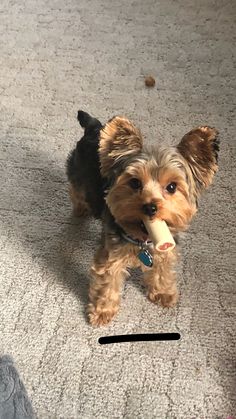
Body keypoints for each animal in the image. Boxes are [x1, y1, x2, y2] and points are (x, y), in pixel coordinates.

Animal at [66, 110, 219, 326]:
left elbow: (162, 269)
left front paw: (163, 292)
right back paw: (81, 209)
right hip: (79, 173)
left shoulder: (165, 248)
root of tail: (94, 127)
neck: (143, 238)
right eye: (135, 182)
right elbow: (107, 283)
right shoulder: (111, 255)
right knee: (77, 191)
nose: (150, 207)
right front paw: (102, 311)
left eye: (172, 186)